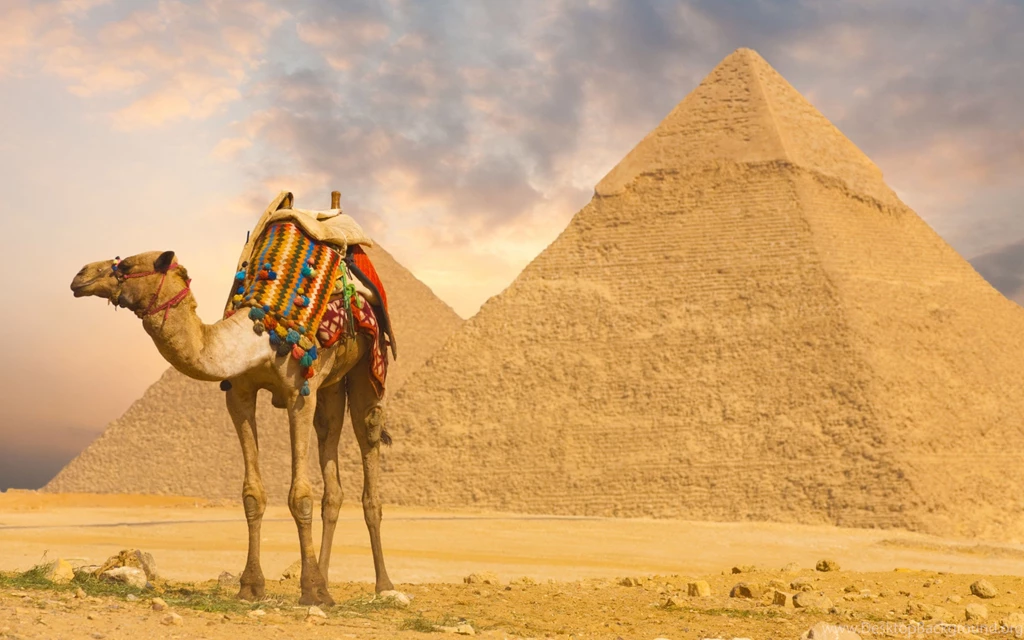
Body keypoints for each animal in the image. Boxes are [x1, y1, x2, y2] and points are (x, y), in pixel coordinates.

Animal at [69, 247, 394, 606]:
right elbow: (252, 494)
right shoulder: (239, 394)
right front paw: (251, 586)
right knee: (331, 462)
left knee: (368, 439)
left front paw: (311, 589)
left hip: (367, 367)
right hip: (331, 386)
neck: (260, 337)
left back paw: (383, 584)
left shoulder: (298, 393)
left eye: (126, 265)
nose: (81, 276)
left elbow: (300, 496)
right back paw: (326, 577)